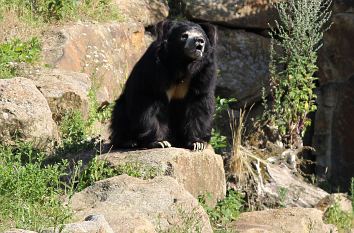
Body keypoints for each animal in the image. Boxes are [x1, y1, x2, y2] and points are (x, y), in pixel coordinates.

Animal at [109, 20, 217, 151]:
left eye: (203, 37)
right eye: (184, 36)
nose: (199, 41)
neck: (183, 64)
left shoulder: (204, 73)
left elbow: (199, 104)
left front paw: (197, 143)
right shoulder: (155, 70)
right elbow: (150, 104)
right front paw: (160, 142)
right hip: (124, 108)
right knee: (120, 115)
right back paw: (129, 142)